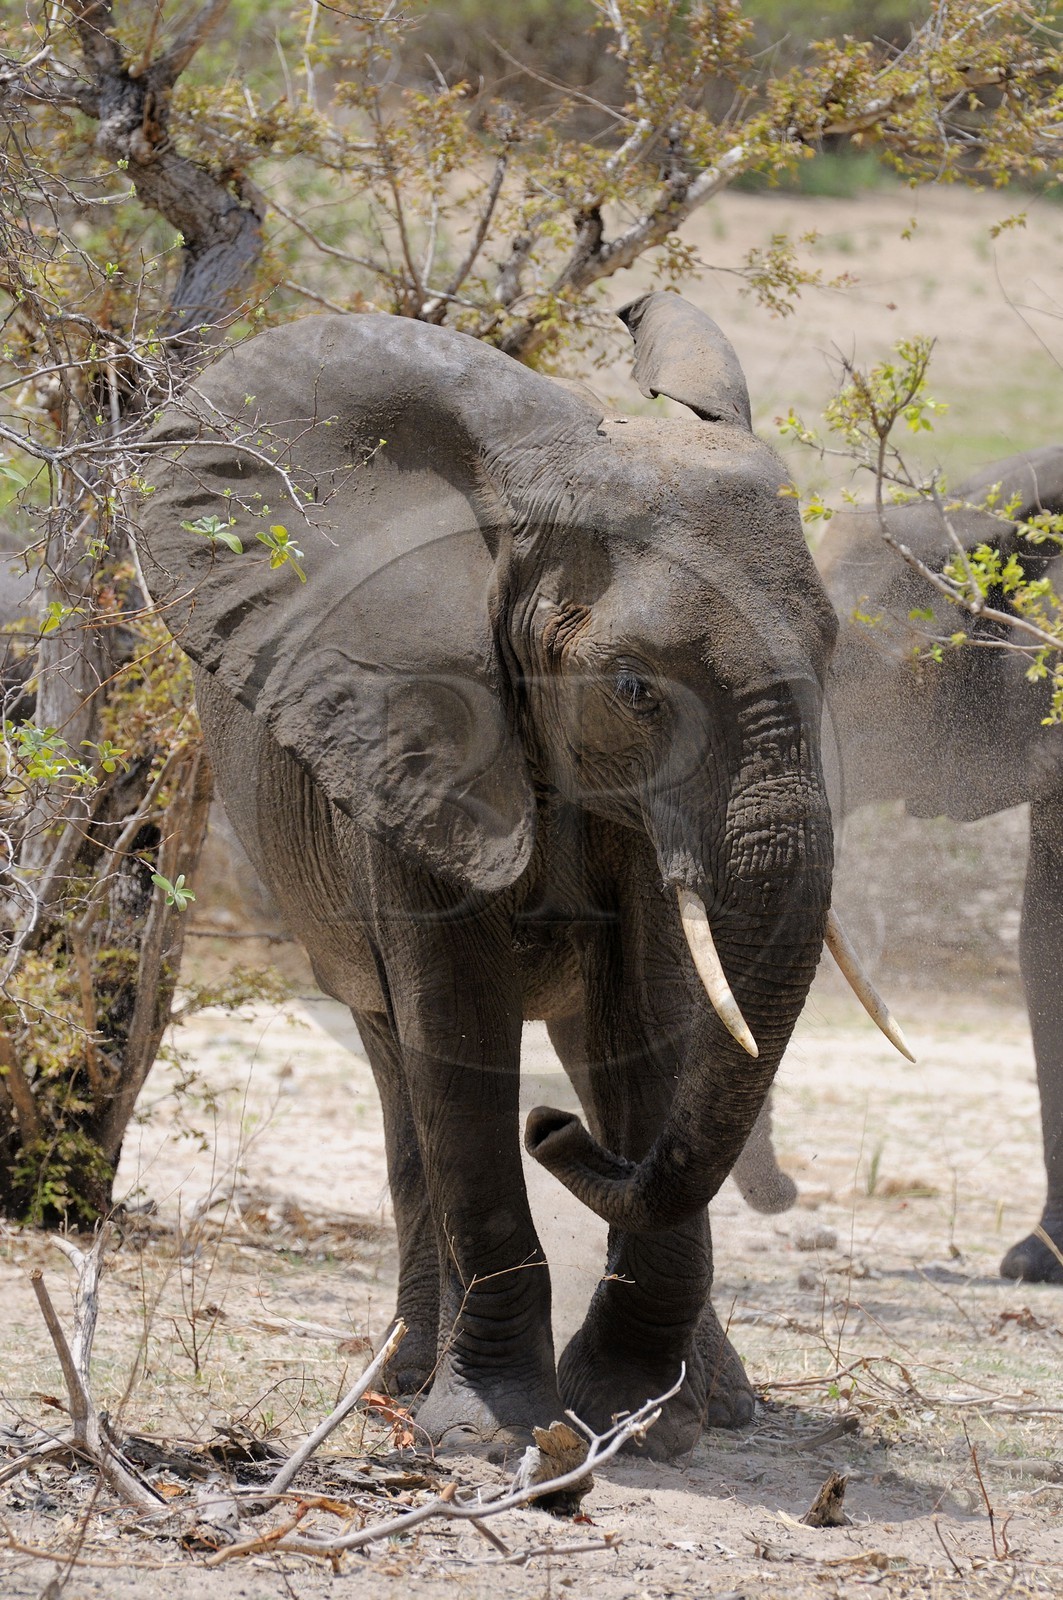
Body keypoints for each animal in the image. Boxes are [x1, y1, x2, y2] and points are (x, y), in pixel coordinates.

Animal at [135, 292, 896, 1457]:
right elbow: (455, 1024)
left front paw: (633, 1412)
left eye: (831, 653)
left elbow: (649, 1015)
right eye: (634, 687)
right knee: (401, 1073)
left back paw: (716, 1403)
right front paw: (493, 1430)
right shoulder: (408, 739)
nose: (552, 1132)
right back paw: (406, 1380)